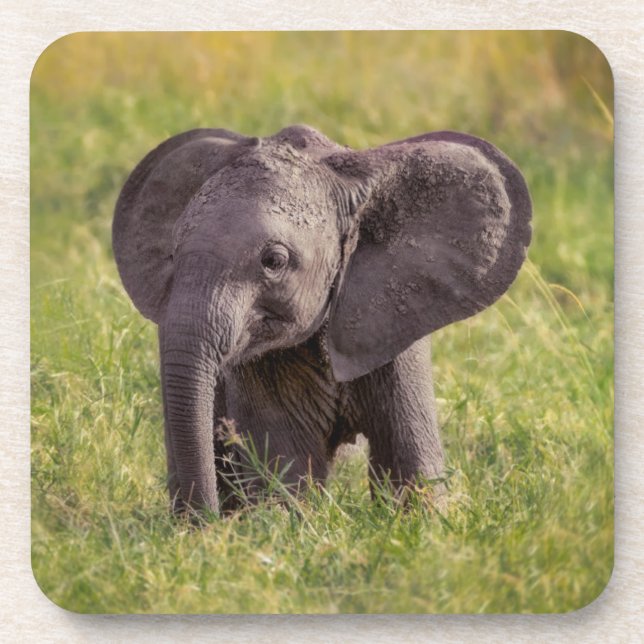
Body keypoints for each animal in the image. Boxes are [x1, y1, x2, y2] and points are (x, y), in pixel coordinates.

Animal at [112, 124, 531, 515]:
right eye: (172, 253)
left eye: (274, 261)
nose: (206, 523)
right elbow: (285, 467)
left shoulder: (393, 329)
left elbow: (409, 464)